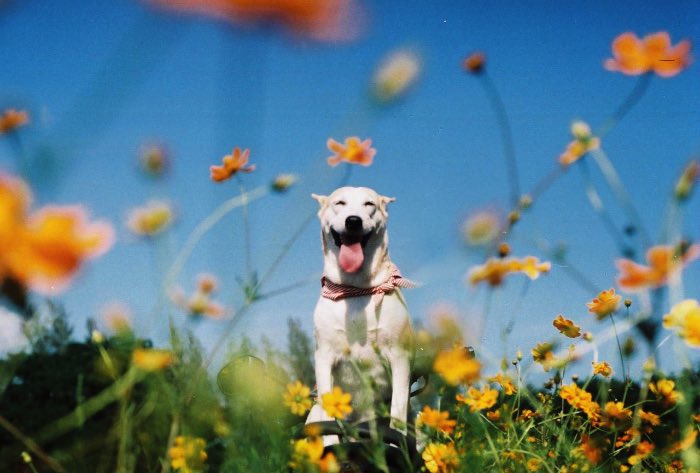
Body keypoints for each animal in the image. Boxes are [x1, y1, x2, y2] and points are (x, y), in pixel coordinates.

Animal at [304, 185, 412, 436]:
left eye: (369, 204)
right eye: (339, 203)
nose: (353, 221)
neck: (355, 290)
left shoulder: (400, 356)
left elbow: (398, 408)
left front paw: (397, 438)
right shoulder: (324, 356)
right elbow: (327, 405)